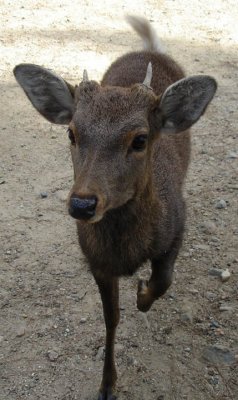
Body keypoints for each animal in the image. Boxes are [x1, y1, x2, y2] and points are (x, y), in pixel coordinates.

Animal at [13, 14, 217, 400]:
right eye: (71, 133)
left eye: (140, 139)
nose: (82, 204)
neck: (128, 251)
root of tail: (149, 49)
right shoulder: (97, 261)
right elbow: (112, 320)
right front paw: (107, 384)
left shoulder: (177, 225)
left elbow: (164, 280)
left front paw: (142, 296)